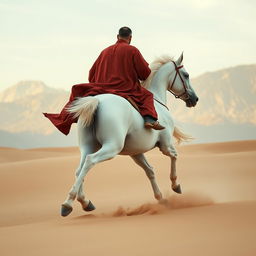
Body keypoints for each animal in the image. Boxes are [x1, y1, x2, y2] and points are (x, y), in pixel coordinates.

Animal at [61, 53, 199, 217]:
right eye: (186, 75)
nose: (195, 98)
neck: (157, 102)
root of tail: (96, 101)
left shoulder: (136, 152)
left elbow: (150, 171)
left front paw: (160, 198)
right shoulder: (165, 145)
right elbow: (174, 156)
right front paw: (175, 185)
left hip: (87, 146)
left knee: (79, 169)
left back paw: (84, 202)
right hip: (112, 147)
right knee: (89, 161)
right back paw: (67, 204)